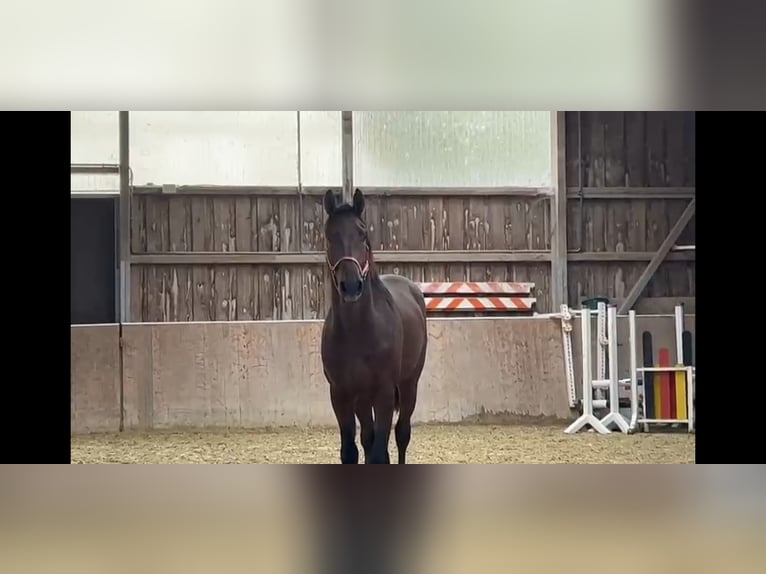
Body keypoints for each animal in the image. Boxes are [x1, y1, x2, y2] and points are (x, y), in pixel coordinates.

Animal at [320, 188, 429, 464]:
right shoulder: (340, 394)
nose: (351, 286)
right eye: (329, 235)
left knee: (402, 433)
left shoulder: (384, 394)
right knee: (368, 439)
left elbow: (380, 453)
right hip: (362, 399)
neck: (359, 331)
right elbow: (352, 451)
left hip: (409, 384)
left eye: (362, 233)